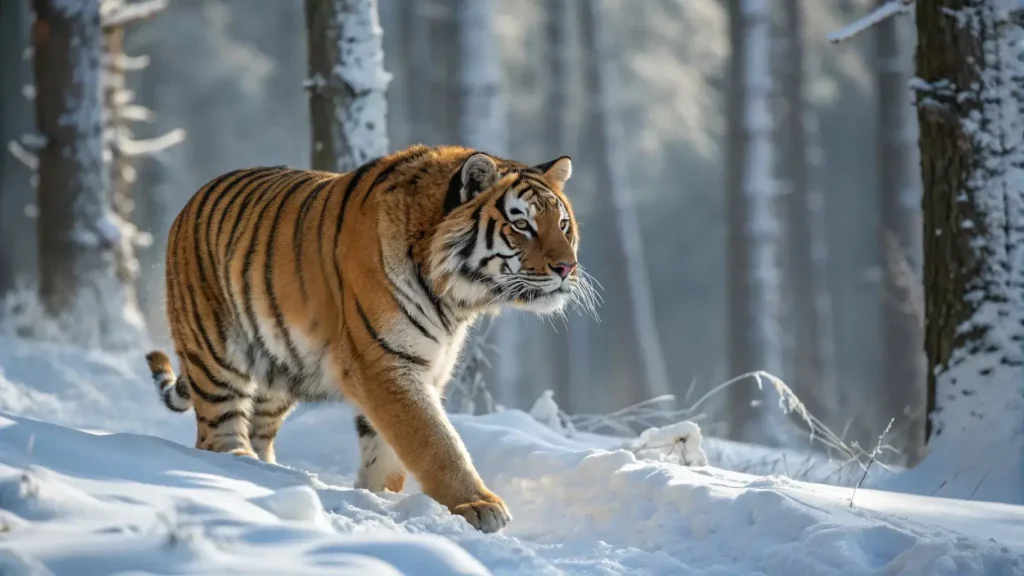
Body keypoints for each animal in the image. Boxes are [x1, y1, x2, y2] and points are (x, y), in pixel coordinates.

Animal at [143, 144, 585, 533]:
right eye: (521, 224)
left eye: (562, 225)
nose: (568, 267)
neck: (455, 298)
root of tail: (191, 201)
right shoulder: (385, 363)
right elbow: (435, 440)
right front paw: (479, 506)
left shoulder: (421, 368)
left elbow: (388, 451)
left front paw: (379, 498)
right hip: (215, 352)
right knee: (216, 432)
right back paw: (239, 470)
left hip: (279, 366)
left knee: (259, 426)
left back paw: (267, 471)